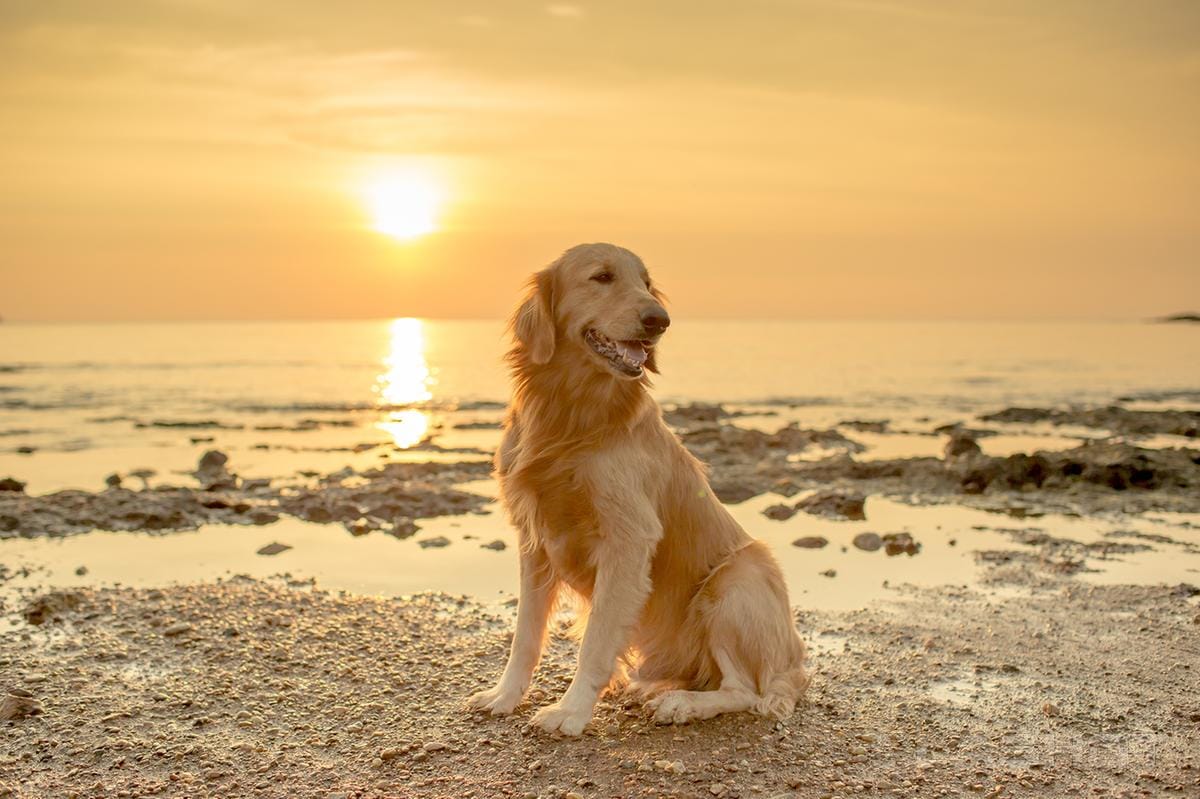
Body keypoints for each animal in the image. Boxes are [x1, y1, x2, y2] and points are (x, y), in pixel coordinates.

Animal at [463, 241, 811, 734]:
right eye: (602, 277)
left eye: (646, 283)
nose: (659, 320)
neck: (570, 413)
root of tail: (794, 664)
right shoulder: (535, 541)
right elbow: (525, 636)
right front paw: (505, 695)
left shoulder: (627, 539)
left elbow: (595, 642)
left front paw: (571, 711)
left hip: (735, 581)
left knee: (745, 690)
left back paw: (682, 703)